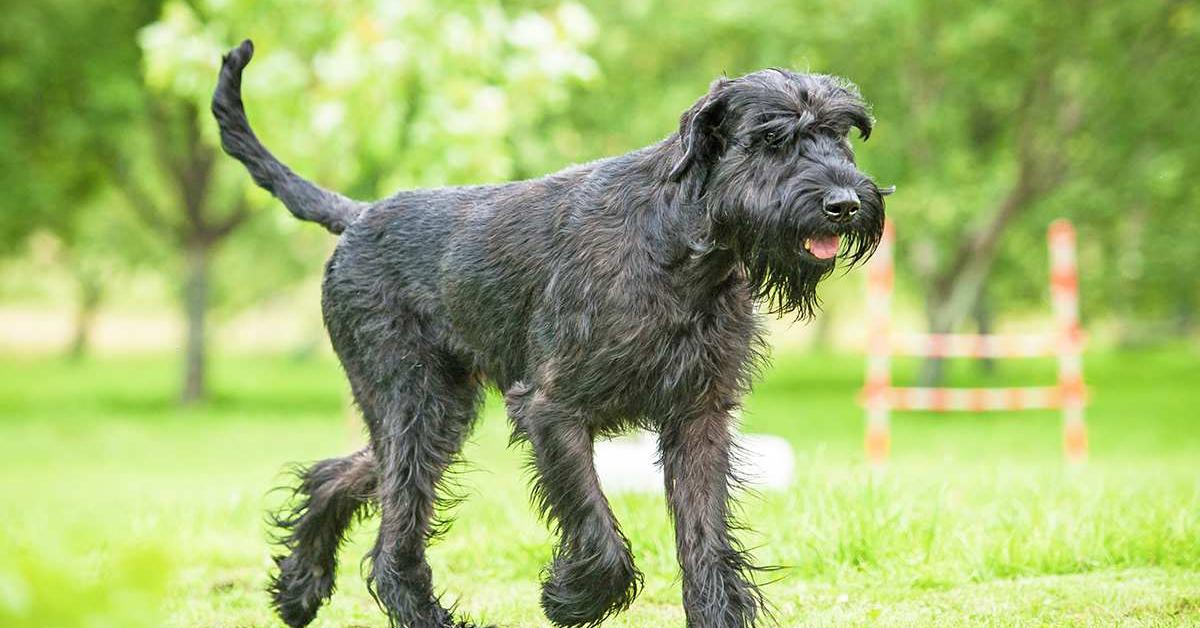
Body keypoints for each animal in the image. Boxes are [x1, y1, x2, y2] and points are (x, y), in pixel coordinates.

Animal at [213, 39, 892, 628]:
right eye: (772, 138)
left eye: (840, 133)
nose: (844, 203)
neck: (682, 249)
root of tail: (356, 216)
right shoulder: (551, 410)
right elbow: (598, 526)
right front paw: (571, 599)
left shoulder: (698, 416)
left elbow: (704, 540)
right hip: (415, 404)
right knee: (392, 542)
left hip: (439, 411)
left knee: (341, 475)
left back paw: (299, 590)